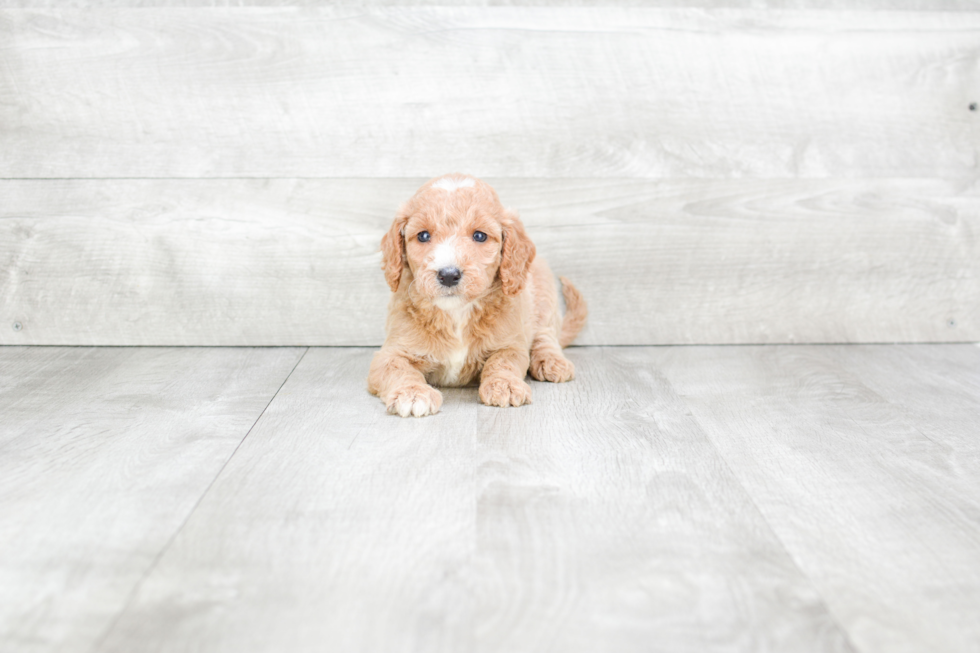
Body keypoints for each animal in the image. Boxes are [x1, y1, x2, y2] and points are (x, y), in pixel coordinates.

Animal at [366, 173, 580, 418]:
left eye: (479, 236)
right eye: (423, 235)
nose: (449, 275)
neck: (456, 313)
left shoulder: (511, 343)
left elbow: (503, 361)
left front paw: (504, 384)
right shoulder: (391, 352)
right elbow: (397, 368)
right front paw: (412, 393)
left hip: (544, 294)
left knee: (546, 335)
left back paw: (552, 361)